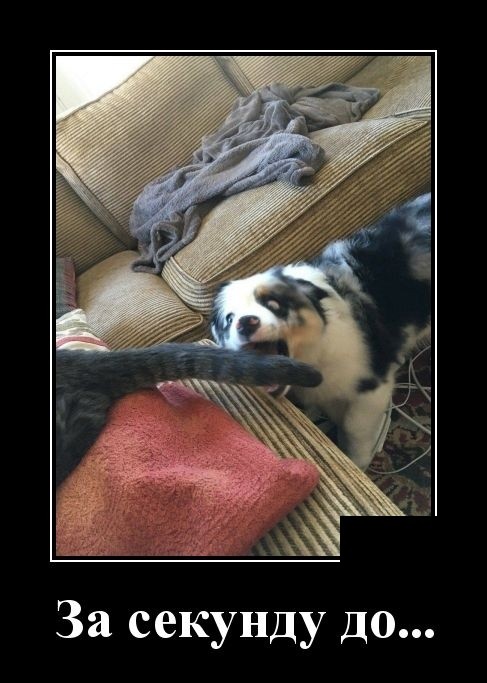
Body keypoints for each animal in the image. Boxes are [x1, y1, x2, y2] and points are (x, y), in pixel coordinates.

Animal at [211, 193, 431, 471]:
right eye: (229, 319)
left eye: (274, 304)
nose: (245, 323)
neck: (318, 350)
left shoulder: (372, 385)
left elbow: (353, 427)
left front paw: (357, 465)